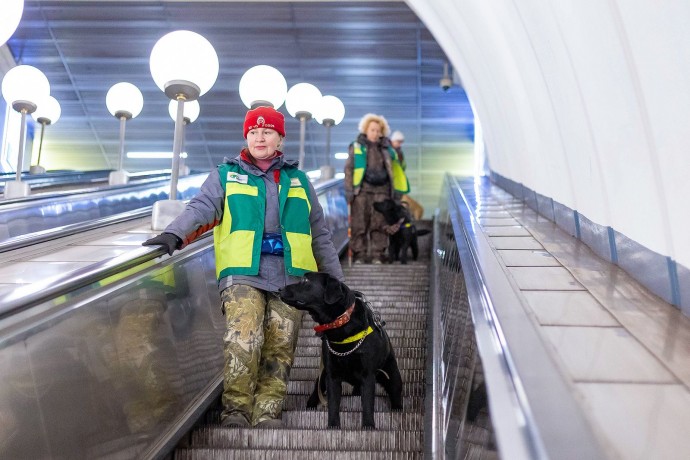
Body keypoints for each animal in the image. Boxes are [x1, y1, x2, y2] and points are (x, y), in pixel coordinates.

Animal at [276, 272, 400, 430]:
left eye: (305, 280)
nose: (279, 289)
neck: (341, 324)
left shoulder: (368, 375)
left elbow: (367, 404)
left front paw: (368, 426)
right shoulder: (332, 375)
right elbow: (333, 405)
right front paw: (333, 426)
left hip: (393, 377)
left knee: (395, 395)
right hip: (322, 376)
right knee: (315, 393)